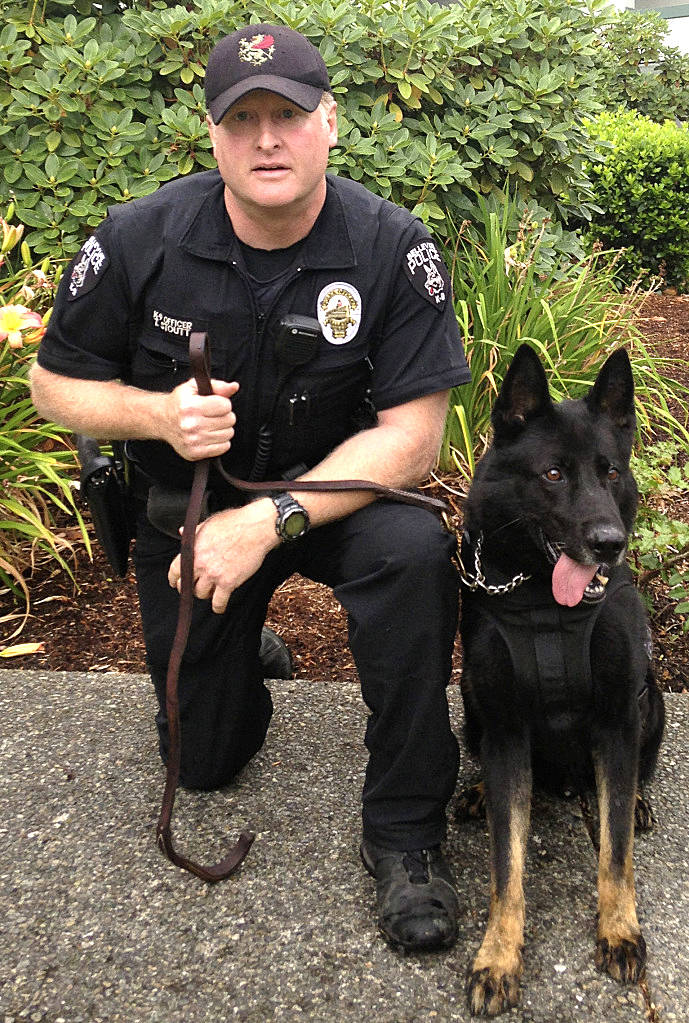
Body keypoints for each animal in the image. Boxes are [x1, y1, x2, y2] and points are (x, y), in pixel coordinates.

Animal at [457, 345, 662, 1014]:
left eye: (611, 473)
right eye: (553, 474)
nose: (609, 544)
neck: (548, 608)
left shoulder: (618, 720)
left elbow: (615, 853)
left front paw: (619, 930)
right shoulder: (504, 727)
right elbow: (507, 866)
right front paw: (498, 955)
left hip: (651, 702)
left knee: (630, 786)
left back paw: (638, 799)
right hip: (472, 712)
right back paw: (479, 791)